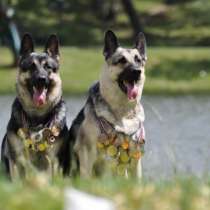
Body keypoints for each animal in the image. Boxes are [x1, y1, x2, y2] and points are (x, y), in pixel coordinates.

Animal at [0, 33, 69, 180]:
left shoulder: (53, 162)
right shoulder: (16, 161)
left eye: (48, 67)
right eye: (32, 67)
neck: (37, 117)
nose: (41, 79)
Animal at [69, 29, 146, 177]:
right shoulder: (87, 156)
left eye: (138, 60)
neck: (123, 112)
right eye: (122, 60)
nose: (137, 71)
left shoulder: (136, 159)